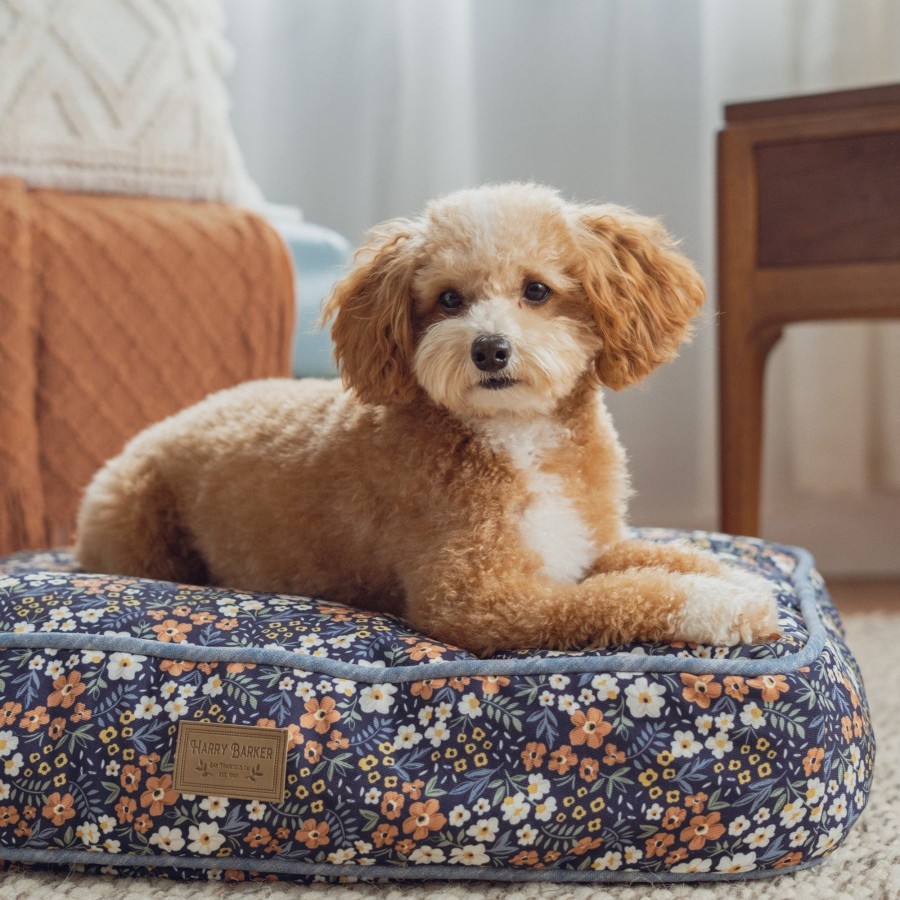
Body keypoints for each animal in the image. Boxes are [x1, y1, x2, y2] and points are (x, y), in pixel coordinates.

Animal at [75, 181, 780, 652]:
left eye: (537, 290)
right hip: (138, 526)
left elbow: (658, 557)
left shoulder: (587, 545)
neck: (517, 436)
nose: (489, 348)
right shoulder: (479, 598)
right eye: (448, 299)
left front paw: (736, 574)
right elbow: (624, 596)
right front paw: (725, 606)